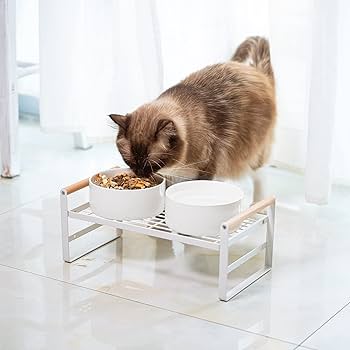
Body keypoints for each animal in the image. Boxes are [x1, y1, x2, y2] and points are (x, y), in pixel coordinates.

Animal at [110, 36, 274, 201]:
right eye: (129, 160)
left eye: (151, 164)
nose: (140, 174)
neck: (176, 166)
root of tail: (257, 72)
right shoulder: (173, 177)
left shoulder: (206, 170)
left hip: (252, 154)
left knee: (260, 177)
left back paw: (257, 203)